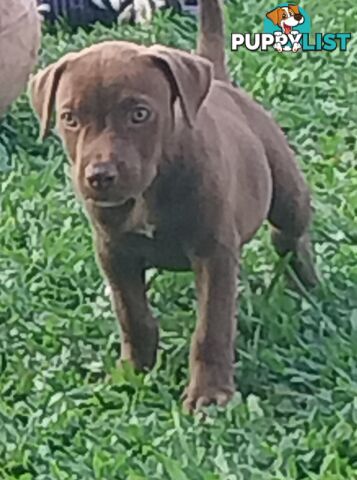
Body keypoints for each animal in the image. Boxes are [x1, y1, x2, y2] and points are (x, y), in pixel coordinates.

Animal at [29, 0, 316, 412]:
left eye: (139, 114)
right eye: (69, 118)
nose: (99, 176)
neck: (149, 189)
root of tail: (221, 85)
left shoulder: (213, 254)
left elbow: (211, 329)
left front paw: (210, 395)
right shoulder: (114, 254)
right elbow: (133, 316)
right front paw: (133, 372)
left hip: (286, 191)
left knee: (290, 235)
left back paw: (308, 287)